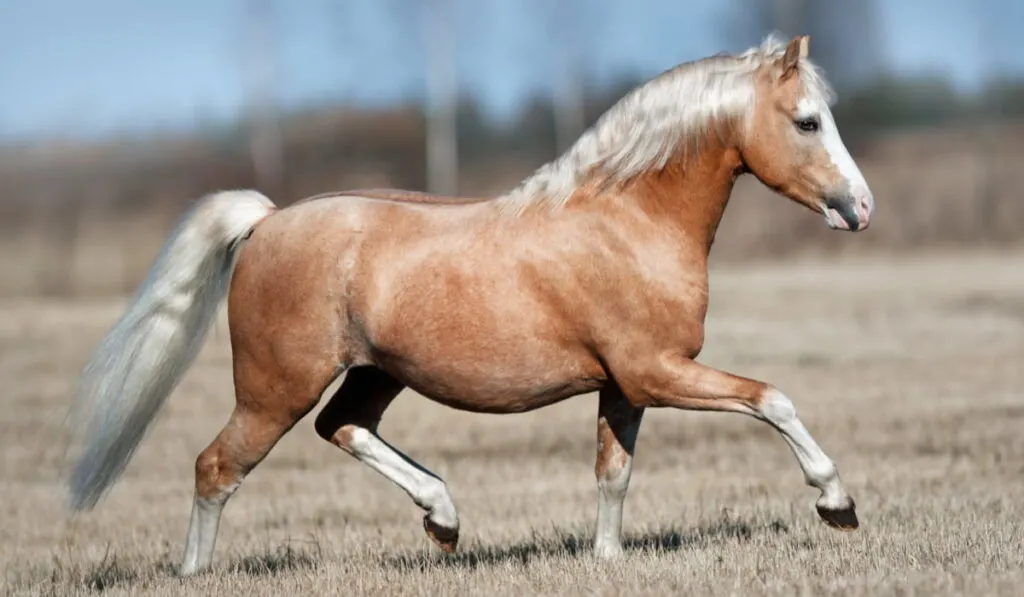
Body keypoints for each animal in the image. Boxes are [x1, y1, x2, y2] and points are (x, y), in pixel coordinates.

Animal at [68, 35, 876, 577]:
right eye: (807, 121)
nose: (860, 208)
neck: (629, 220)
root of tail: (267, 221)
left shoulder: (625, 384)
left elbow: (613, 472)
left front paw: (606, 559)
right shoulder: (658, 371)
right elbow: (773, 399)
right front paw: (837, 504)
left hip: (374, 373)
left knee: (342, 427)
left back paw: (444, 520)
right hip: (274, 388)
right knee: (217, 466)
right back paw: (196, 572)